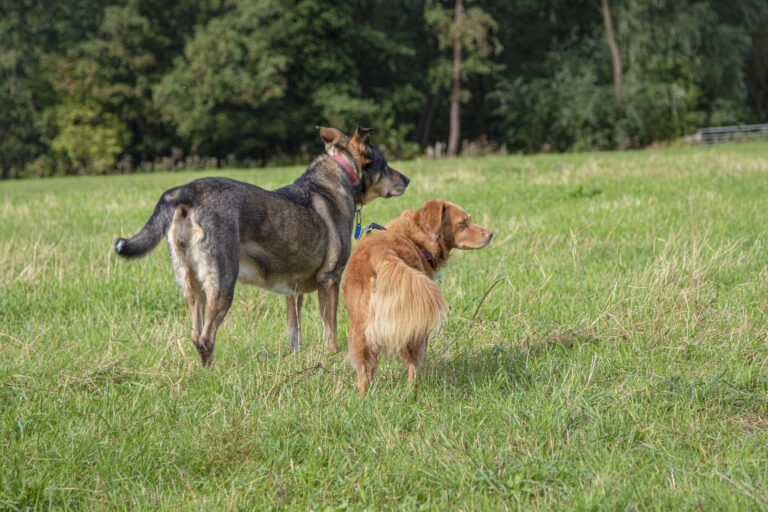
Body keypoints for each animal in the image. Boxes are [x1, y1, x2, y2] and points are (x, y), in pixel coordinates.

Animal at [113, 126, 408, 364]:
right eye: (385, 164)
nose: (408, 180)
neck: (340, 175)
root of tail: (188, 189)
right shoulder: (330, 279)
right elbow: (331, 329)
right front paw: (333, 356)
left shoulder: (293, 291)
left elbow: (294, 333)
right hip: (223, 284)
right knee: (206, 338)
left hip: (191, 285)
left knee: (196, 335)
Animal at [340, 200, 492, 392]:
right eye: (463, 223)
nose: (491, 234)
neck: (415, 237)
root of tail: (382, 256)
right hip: (414, 324)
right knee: (415, 365)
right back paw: (413, 391)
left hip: (359, 331)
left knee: (365, 372)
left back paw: (366, 395)